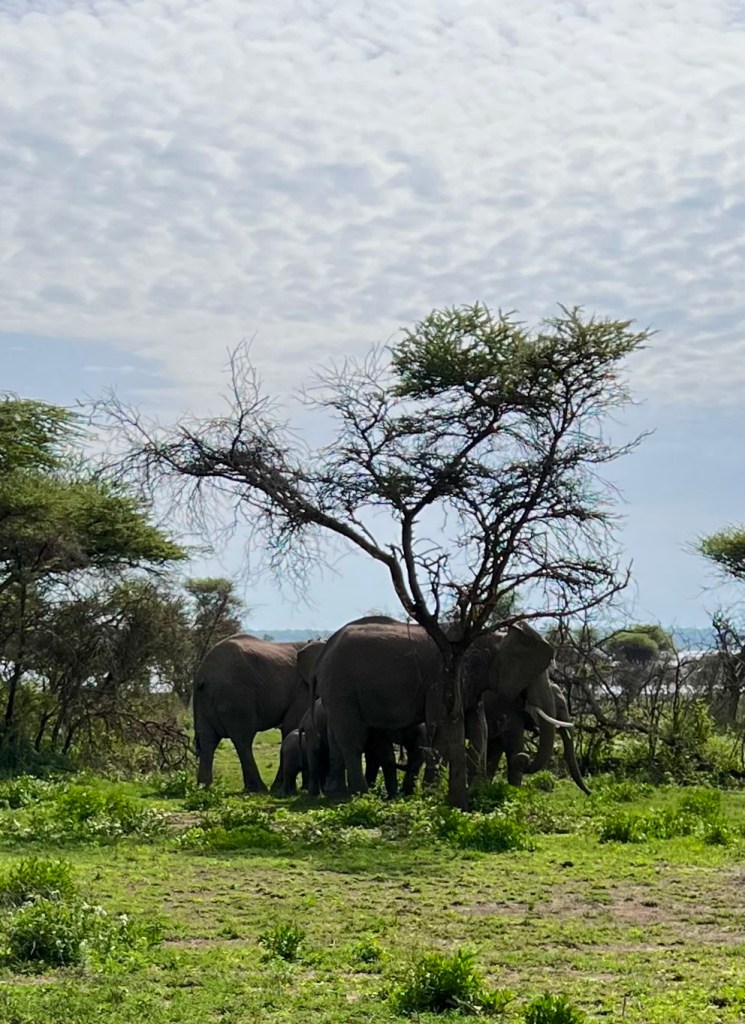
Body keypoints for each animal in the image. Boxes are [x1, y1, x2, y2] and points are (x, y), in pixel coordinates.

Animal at [192, 633, 314, 793]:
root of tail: (202, 674)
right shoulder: (303, 689)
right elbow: (292, 726)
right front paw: (281, 789)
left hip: (206, 700)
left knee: (208, 739)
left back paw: (204, 787)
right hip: (236, 697)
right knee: (243, 739)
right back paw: (258, 789)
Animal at [313, 619, 558, 797]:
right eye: (533, 676)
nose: (522, 758)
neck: (493, 639)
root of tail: (326, 647)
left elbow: (479, 729)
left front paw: (478, 791)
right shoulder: (444, 680)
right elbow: (441, 728)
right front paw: (431, 793)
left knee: (337, 736)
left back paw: (336, 794)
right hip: (341, 686)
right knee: (351, 737)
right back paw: (360, 794)